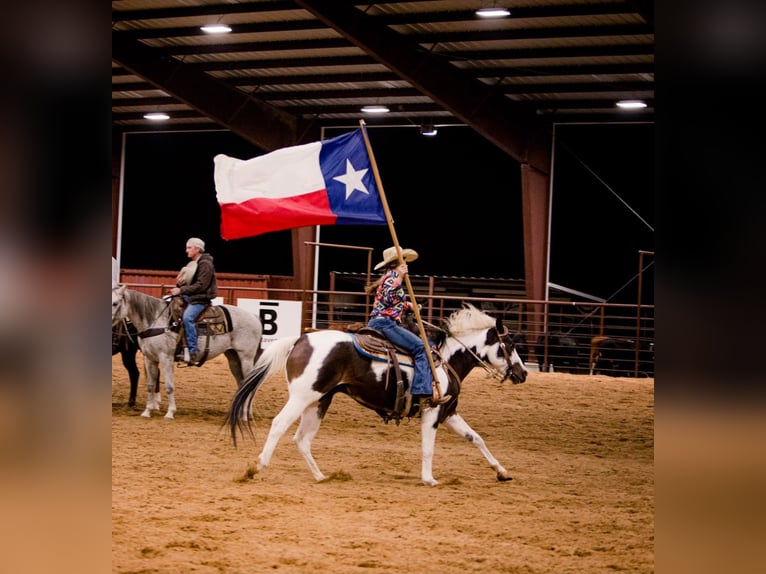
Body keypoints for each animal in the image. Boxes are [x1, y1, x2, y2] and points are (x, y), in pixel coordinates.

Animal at [109, 282, 262, 418]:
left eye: (115, 303)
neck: (155, 321)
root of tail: (254, 317)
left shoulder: (166, 357)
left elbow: (169, 386)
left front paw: (170, 413)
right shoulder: (149, 358)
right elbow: (150, 385)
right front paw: (147, 411)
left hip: (246, 358)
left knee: (250, 385)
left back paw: (246, 415)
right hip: (233, 358)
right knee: (242, 384)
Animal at [225, 304, 532, 488]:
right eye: (510, 344)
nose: (523, 373)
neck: (444, 360)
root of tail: (302, 338)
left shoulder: (449, 412)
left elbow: (476, 438)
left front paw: (502, 471)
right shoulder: (432, 411)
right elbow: (428, 447)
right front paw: (429, 479)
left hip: (319, 400)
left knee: (302, 439)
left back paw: (320, 475)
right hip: (302, 396)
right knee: (279, 425)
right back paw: (257, 467)